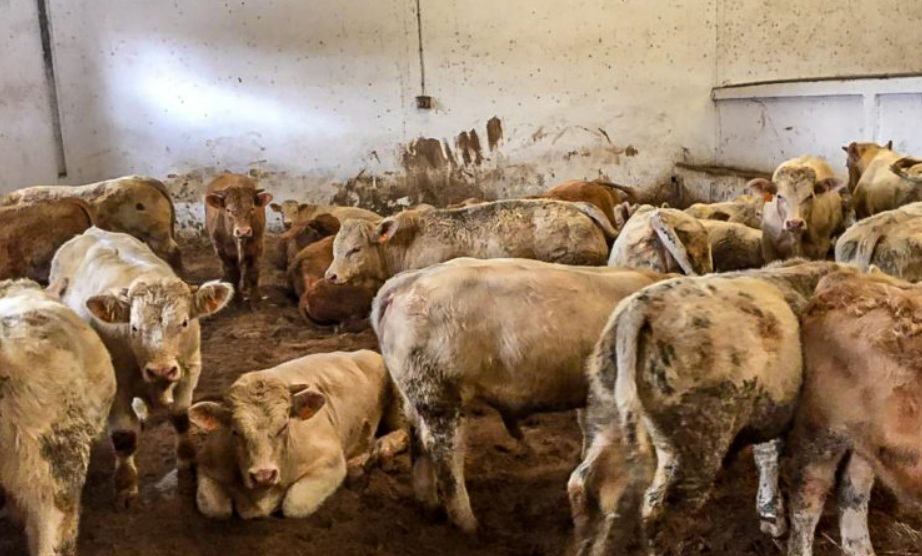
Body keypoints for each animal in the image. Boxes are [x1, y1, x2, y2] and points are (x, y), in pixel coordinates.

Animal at [48, 227, 233, 506]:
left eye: (184, 322)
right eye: (134, 327)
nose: (161, 370)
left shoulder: (190, 370)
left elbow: (181, 418)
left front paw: (187, 469)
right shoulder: (117, 387)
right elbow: (124, 435)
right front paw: (125, 486)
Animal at [188, 350, 407, 519]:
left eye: (284, 426)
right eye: (235, 431)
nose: (263, 475)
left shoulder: (330, 461)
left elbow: (294, 505)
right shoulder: (206, 464)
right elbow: (215, 509)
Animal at [205, 172, 273, 303]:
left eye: (252, 208)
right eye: (228, 210)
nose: (243, 231)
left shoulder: (258, 246)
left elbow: (253, 272)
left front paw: (256, 298)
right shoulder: (222, 251)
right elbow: (233, 274)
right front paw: (236, 297)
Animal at [371, 258, 668, 532]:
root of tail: (409, 280)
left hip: (416, 394)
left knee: (418, 439)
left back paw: (430, 506)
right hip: (440, 395)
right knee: (445, 451)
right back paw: (467, 523)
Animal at [568, 260, 855, 555]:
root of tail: (642, 306)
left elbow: (767, 454)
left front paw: (771, 515)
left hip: (607, 417)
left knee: (585, 483)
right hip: (696, 444)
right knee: (663, 510)